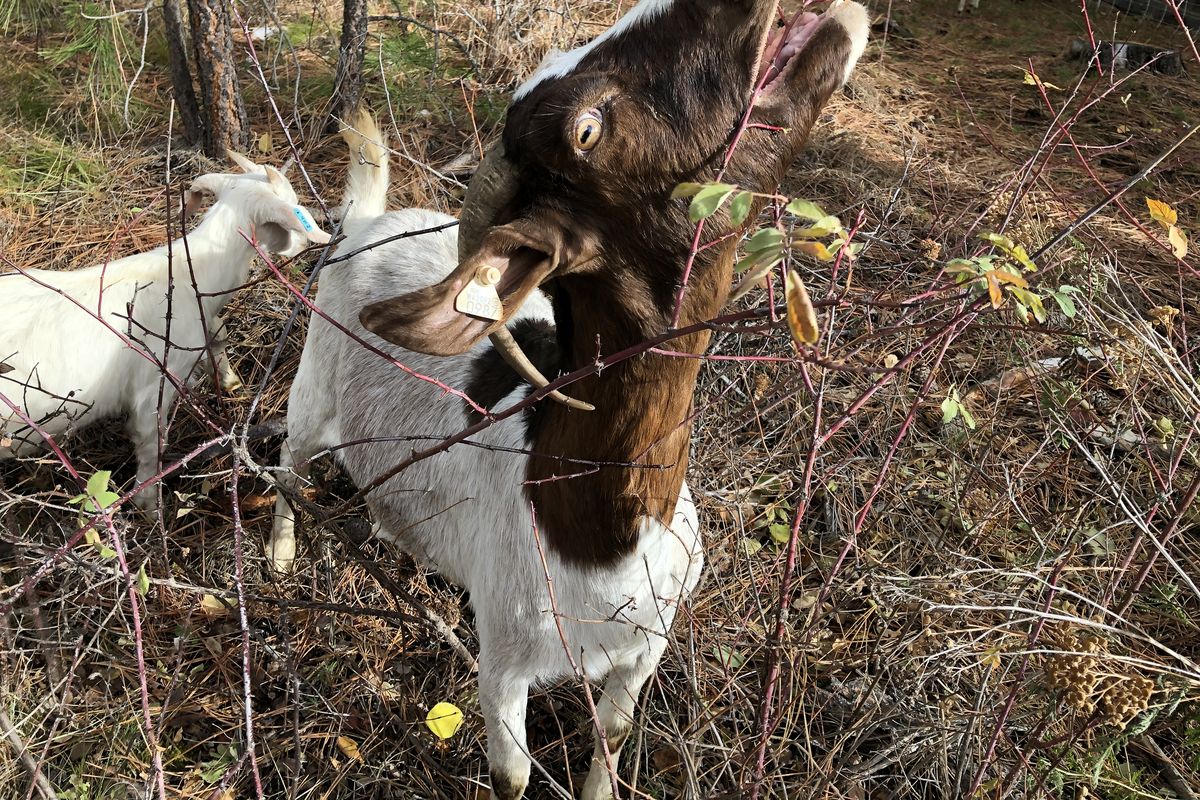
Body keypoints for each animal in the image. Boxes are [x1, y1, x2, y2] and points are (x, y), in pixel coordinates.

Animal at [1, 154, 328, 506]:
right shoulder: (156, 384)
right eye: (293, 204)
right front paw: (148, 505)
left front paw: (229, 380)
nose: (301, 247)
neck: (189, 271)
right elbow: (150, 446)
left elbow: (218, 334)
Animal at [272, 3, 868, 796]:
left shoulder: (645, 647)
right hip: (312, 389)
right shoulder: (503, 664)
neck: (594, 532)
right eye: (587, 131)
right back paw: (278, 556)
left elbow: (611, 734)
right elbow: (513, 775)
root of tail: (368, 224)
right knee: (289, 461)